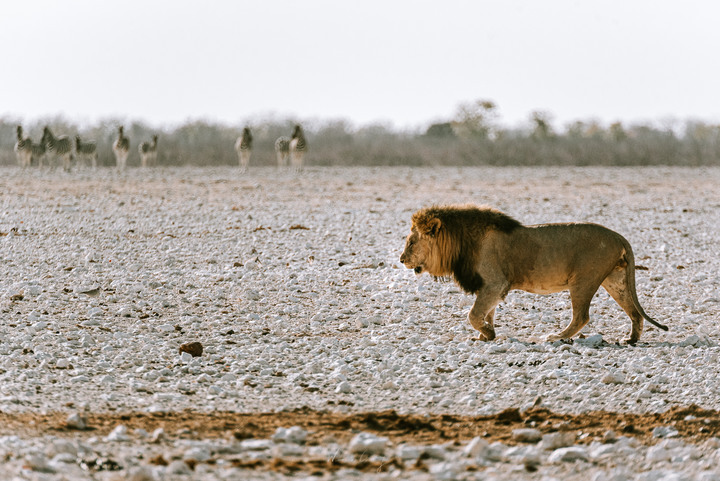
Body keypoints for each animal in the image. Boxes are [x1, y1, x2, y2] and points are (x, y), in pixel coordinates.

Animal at [400, 204, 668, 344]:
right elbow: (487, 313)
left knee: (581, 316)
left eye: (411, 242)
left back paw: (556, 336)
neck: (461, 242)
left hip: (583, 281)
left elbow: (474, 314)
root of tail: (618, 236)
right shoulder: (491, 287)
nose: (402, 259)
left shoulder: (494, 283)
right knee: (634, 312)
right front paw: (486, 335)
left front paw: (488, 333)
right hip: (615, 280)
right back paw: (631, 340)